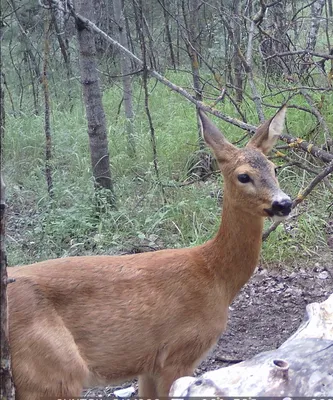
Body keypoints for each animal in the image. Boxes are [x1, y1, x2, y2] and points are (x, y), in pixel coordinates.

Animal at [6, 107, 290, 400]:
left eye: (274, 168)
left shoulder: (148, 365)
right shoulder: (178, 353)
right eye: (243, 176)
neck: (215, 277)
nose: (284, 203)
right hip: (52, 371)